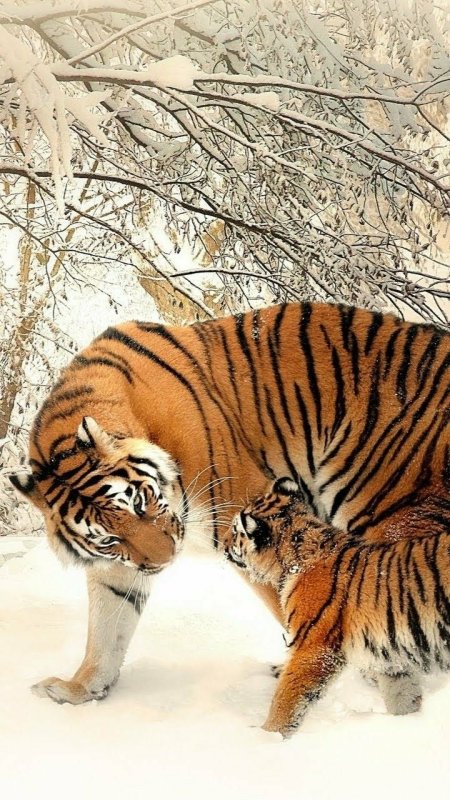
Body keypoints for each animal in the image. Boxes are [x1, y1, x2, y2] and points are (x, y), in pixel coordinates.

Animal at [9, 302, 450, 708]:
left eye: (139, 501)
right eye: (107, 540)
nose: (166, 560)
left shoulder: (249, 516)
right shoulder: (119, 566)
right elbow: (107, 627)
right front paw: (79, 689)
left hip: (396, 520)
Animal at [226, 477, 450, 737]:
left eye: (235, 530)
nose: (223, 544)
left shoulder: (313, 649)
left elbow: (286, 700)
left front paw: (266, 736)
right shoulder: (391, 660)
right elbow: (402, 695)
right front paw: (405, 723)